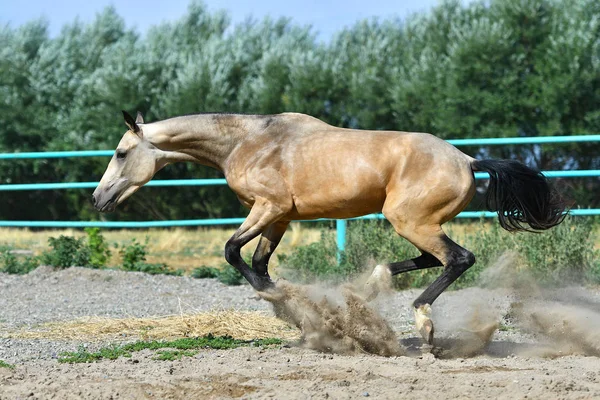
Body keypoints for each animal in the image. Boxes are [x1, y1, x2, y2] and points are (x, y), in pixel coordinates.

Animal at [91, 111, 564, 344]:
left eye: (120, 152)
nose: (98, 199)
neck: (247, 141)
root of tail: (466, 159)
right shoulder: (279, 217)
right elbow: (258, 264)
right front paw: (299, 315)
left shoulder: (268, 207)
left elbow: (231, 251)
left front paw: (287, 306)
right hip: (418, 224)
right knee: (431, 260)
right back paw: (370, 289)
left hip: (410, 221)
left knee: (457, 259)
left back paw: (423, 324)